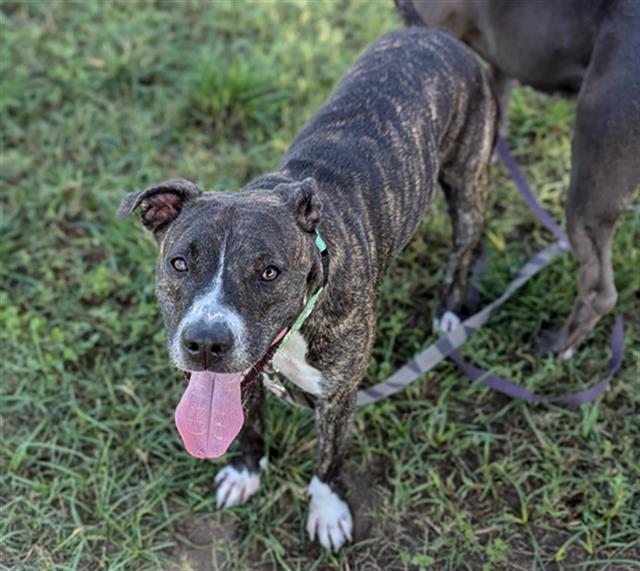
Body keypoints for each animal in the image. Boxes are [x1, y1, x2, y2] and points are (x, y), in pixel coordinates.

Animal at [121, 29, 500, 552]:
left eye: (269, 273)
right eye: (179, 263)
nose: (206, 343)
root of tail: (434, 32)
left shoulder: (340, 393)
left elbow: (329, 457)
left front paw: (327, 510)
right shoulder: (246, 379)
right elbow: (248, 428)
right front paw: (245, 472)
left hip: (468, 182)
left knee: (464, 246)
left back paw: (449, 311)